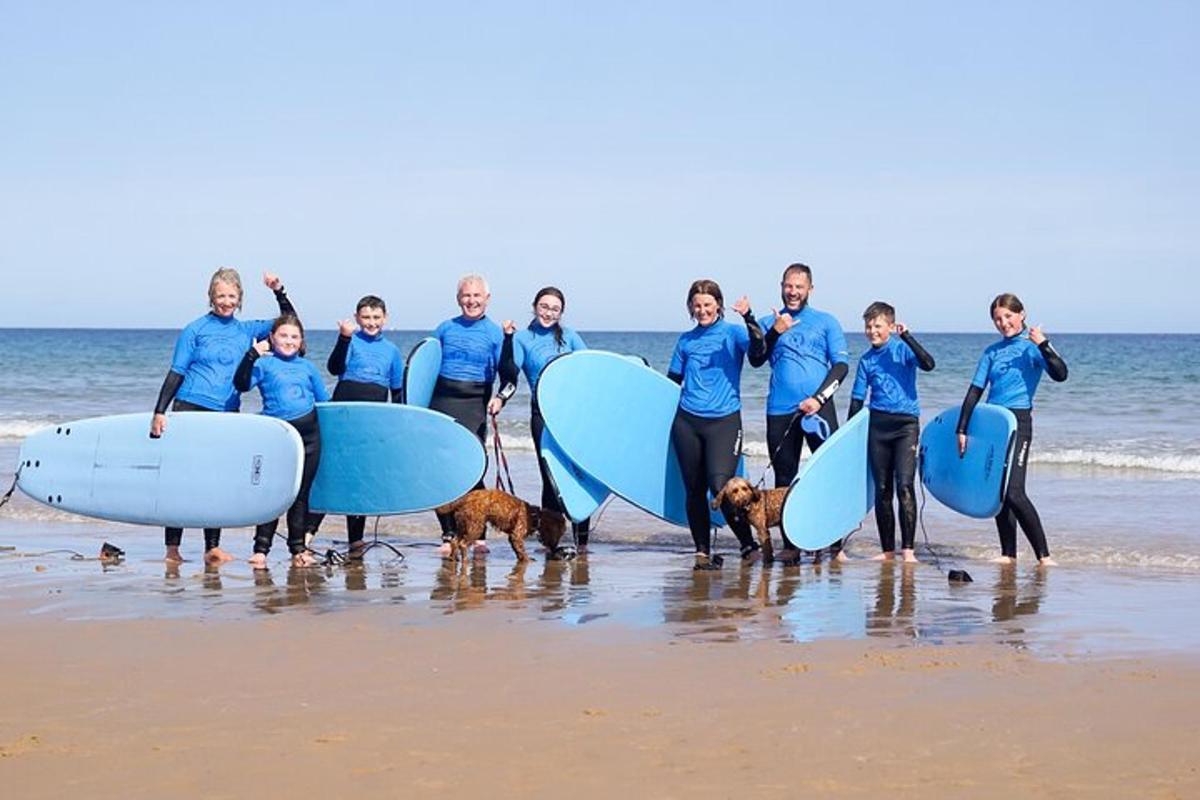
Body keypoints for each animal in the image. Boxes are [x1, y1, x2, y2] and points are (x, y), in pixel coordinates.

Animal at [436, 489, 566, 563]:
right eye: (559, 533)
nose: (554, 548)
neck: (534, 515)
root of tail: (463, 499)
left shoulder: (513, 537)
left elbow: (518, 551)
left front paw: (522, 559)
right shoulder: (516, 535)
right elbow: (521, 550)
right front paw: (527, 560)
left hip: (463, 526)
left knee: (455, 542)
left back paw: (453, 558)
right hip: (476, 527)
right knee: (462, 544)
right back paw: (465, 560)